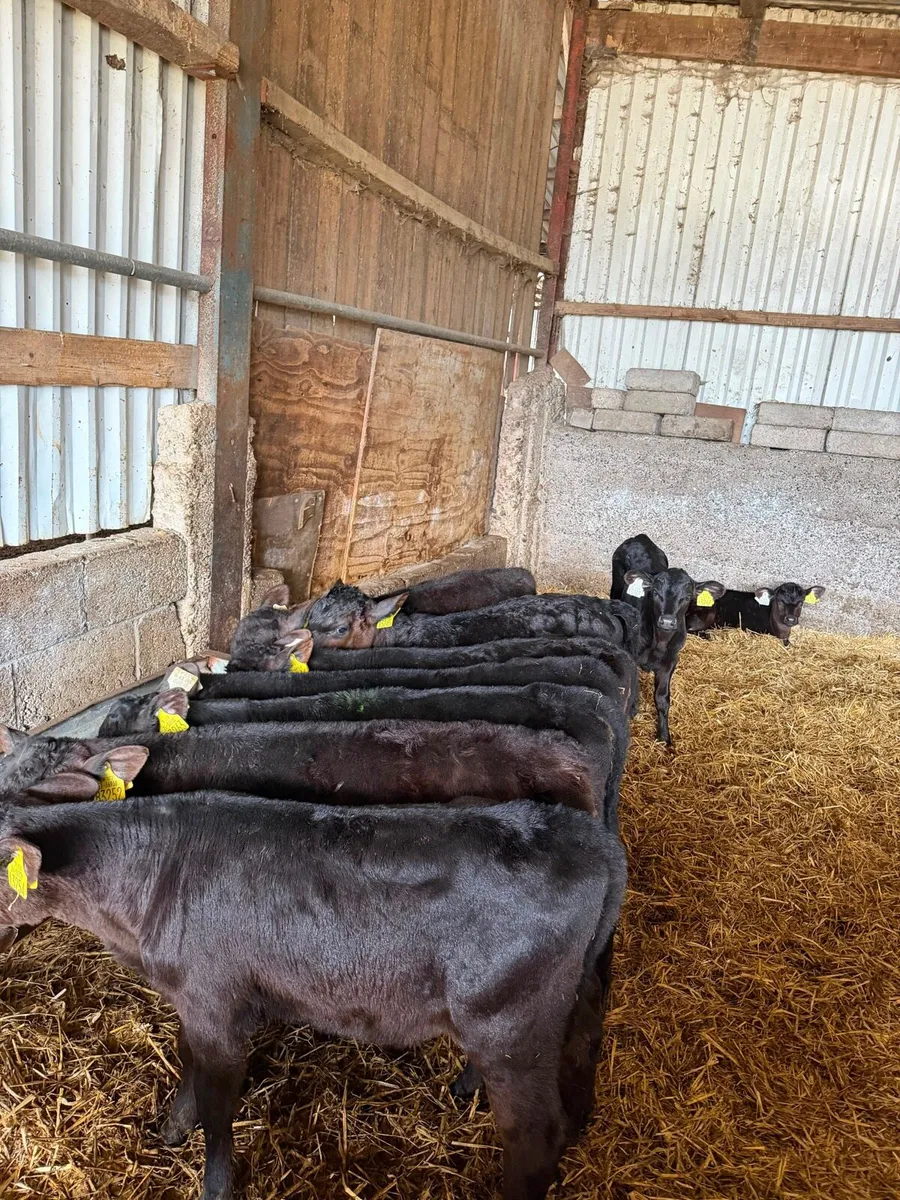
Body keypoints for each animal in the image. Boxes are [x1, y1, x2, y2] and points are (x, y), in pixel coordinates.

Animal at [1, 793, 627, 1200]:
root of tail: (593, 838)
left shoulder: (214, 1002)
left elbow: (218, 1108)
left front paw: (212, 1181)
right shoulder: (196, 1002)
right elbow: (187, 1067)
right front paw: (172, 1129)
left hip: (511, 1021)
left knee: (536, 1135)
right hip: (560, 999)